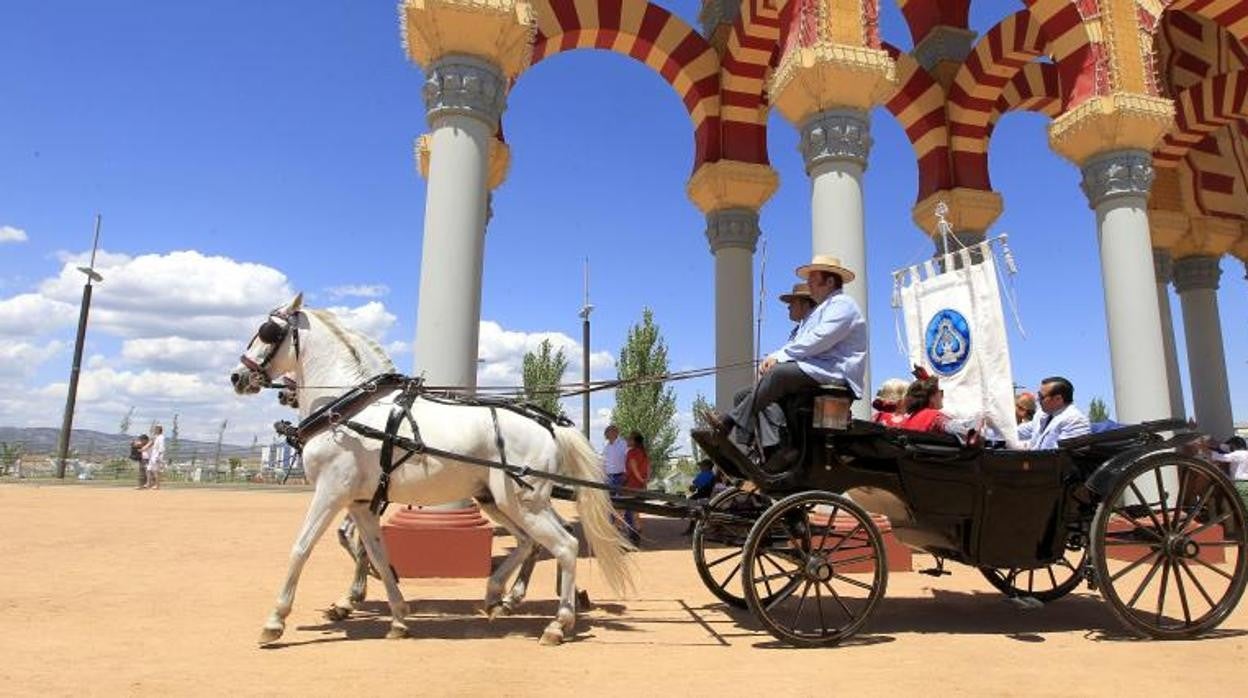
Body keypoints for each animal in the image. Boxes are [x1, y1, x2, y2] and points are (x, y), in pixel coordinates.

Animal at [229, 294, 628, 644]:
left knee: (565, 544)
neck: (347, 410)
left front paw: (275, 620)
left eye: (267, 331)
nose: (236, 377)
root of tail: (550, 426)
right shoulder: (361, 503)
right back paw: (500, 596)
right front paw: (397, 615)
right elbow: (376, 553)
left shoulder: (331, 492)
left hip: (522, 503)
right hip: (501, 501)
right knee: (534, 541)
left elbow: (301, 547)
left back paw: (558, 623)